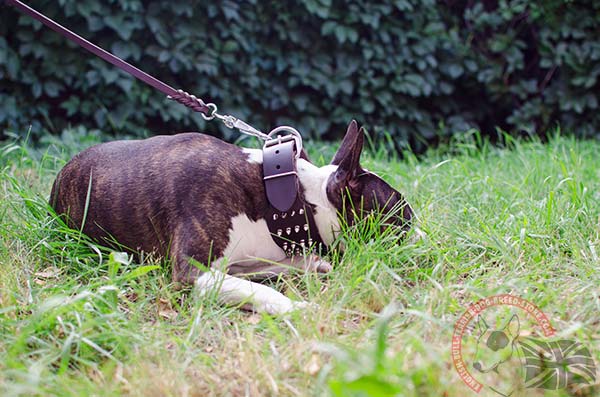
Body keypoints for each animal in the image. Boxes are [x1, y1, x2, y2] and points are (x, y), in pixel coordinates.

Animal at [50, 120, 412, 312]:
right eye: (402, 215)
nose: (420, 238)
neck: (285, 197)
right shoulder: (192, 274)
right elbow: (266, 291)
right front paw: (298, 308)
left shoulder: (241, 262)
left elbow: (273, 269)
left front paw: (312, 264)